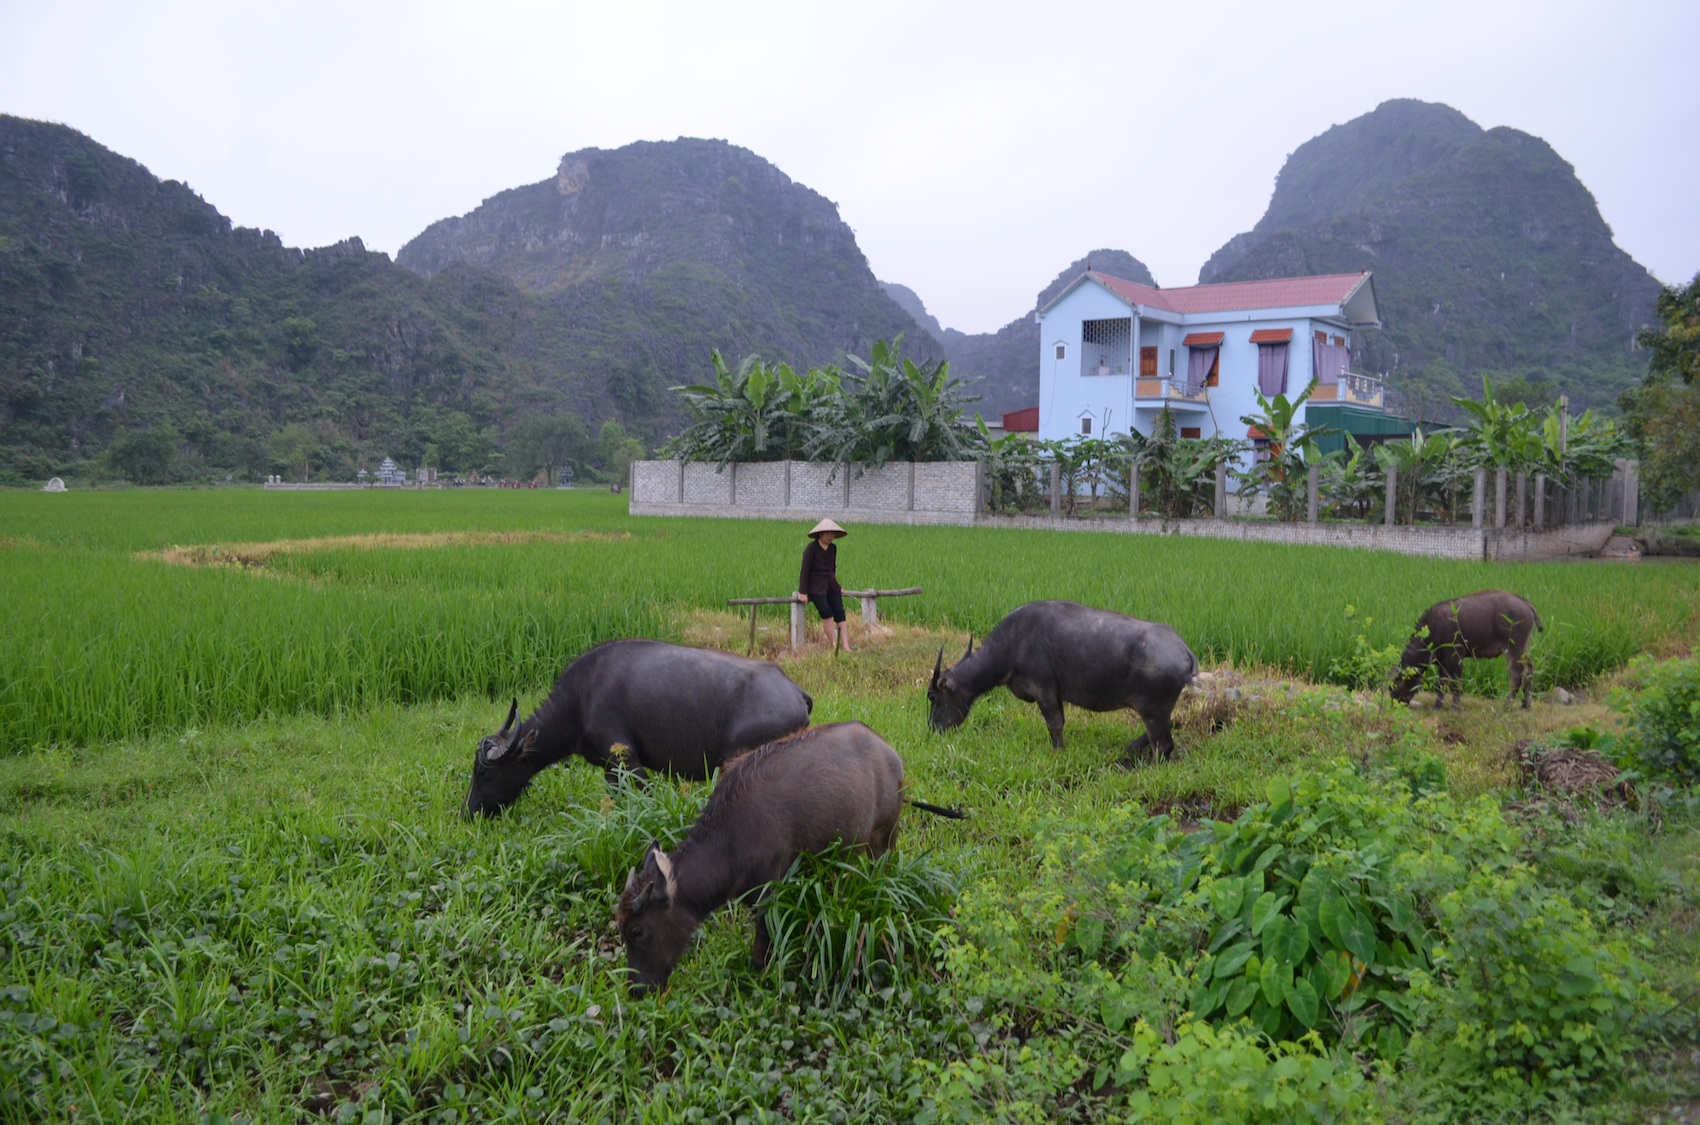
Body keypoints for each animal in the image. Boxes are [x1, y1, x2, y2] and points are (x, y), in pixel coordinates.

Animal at [462, 642, 812, 819]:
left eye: (484, 772)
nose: (469, 811)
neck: (581, 700)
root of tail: (795, 692)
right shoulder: (609, 768)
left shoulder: (628, 761)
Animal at [615, 723, 965, 999]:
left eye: (637, 931)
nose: (636, 990)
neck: (730, 838)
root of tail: (890, 754)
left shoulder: (768, 891)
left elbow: (763, 940)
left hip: (886, 838)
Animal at [931, 598, 1196, 768]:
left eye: (933, 697)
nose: (934, 729)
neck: (1013, 644)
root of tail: (1182, 648)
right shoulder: (1056, 693)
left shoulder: (1043, 689)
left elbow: (1054, 724)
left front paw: (1057, 750)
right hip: (1157, 710)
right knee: (1168, 727)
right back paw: (1130, 748)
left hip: (1152, 710)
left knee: (1164, 744)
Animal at [1387, 584, 1550, 710]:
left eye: (1394, 685)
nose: (1394, 704)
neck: (1433, 628)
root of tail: (1525, 603)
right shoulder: (1442, 662)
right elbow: (1441, 683)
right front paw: (1437, 706)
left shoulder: (1455, 656)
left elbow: (1455, 682)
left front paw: (1455, 707)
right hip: (1523, 648)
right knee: (1529, 669)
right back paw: (1525, 704)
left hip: (1514, 648)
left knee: (1517, 674)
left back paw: (1507, 705)